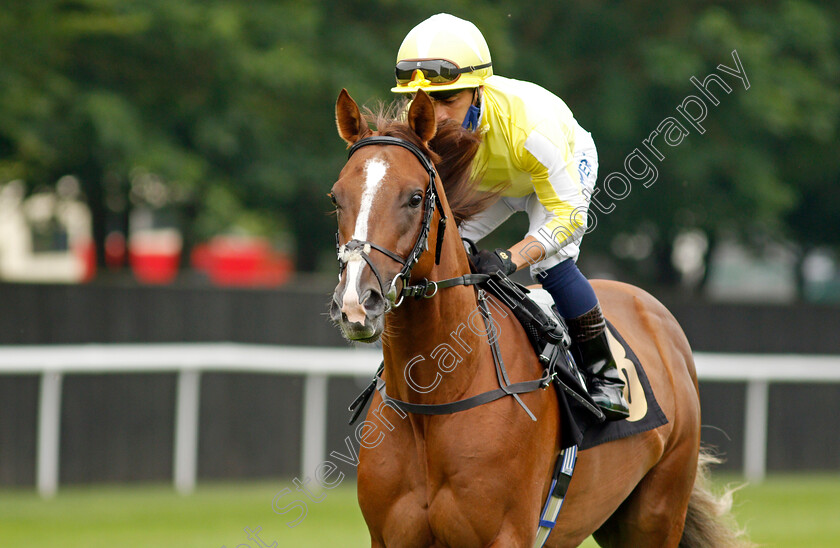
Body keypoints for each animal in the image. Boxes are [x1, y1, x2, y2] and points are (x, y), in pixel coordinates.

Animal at [328, 90, 748, 548]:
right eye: (335, 197)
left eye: (414, 198)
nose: (356, 303)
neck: (434, 398)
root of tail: (654, 312)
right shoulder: (389, 538)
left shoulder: (505, 535)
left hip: (658, 511)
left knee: (557, 259)